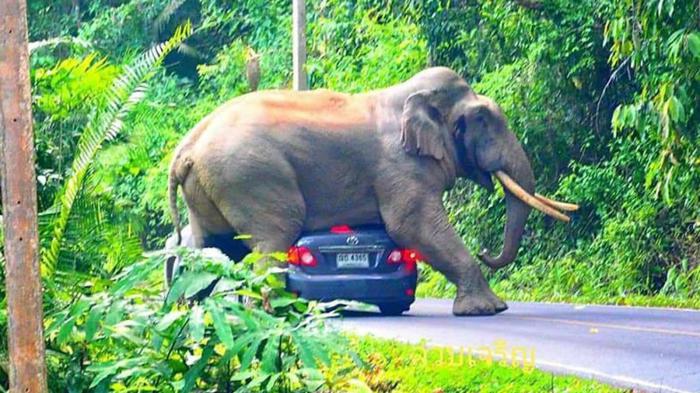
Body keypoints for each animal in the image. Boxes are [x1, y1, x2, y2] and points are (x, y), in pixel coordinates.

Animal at [168, 66, 576, 316]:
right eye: (483, 119)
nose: (486, 251)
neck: (410, 95)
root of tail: (186, 147)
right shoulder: (400, 166)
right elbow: (412, 226)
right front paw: (489, 310)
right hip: (251, 177)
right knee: (273, 237)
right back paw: (276, 313)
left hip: (211, 187)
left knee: (211, 245)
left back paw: (192, 312)